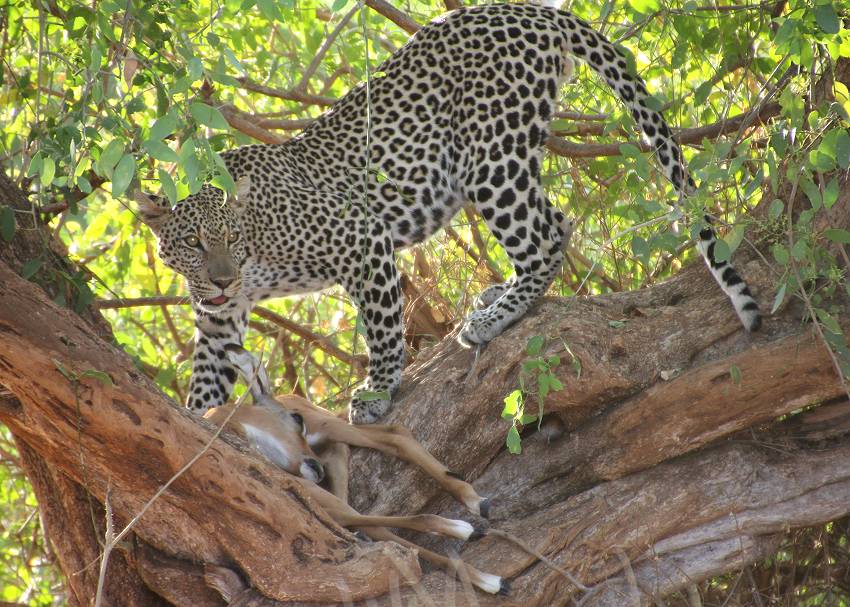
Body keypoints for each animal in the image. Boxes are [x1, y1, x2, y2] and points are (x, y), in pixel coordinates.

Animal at [136, 2, 760, 426]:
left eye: (230, 237)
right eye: (192, 243)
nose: (222, 280)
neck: (256, 254)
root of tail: (531, 9)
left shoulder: (362, 241)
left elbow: (384, 328)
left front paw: (377, 391)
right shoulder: (219, 323)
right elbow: (205, 381)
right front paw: (196, 423)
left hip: (490, 156)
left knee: (545, 236)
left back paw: (491, 318)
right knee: (554, 224)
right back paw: (496, 297)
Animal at [205, 346, 506, 592]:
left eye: (297, 419)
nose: (316, 468)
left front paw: (464, 530)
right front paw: (484, 569)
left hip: (331, 431)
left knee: (396, 435)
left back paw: (476, 502)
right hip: (331, 458)